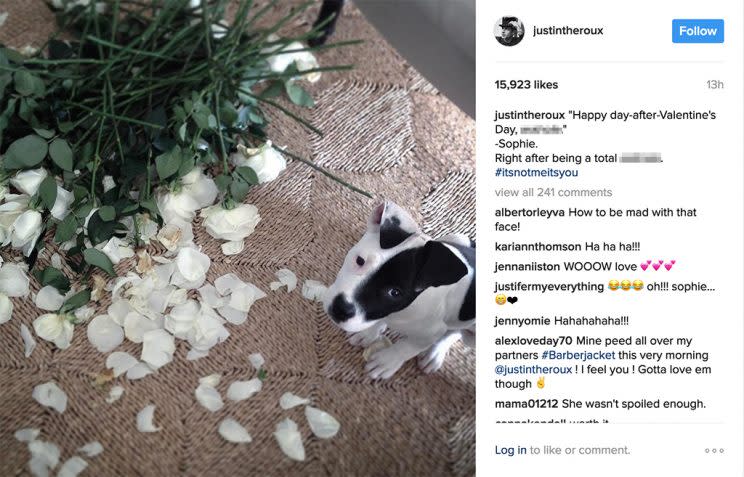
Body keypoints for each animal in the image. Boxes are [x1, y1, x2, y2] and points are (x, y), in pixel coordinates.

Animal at [322, 201, 474, 380]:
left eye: (395, 293)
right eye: (360, 261)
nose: (340, 308)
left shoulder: (428, 334)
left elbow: (407, 347)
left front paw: (388, 361)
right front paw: (369, 333)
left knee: (454, 332)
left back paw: (434, 354)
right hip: (454, 238)